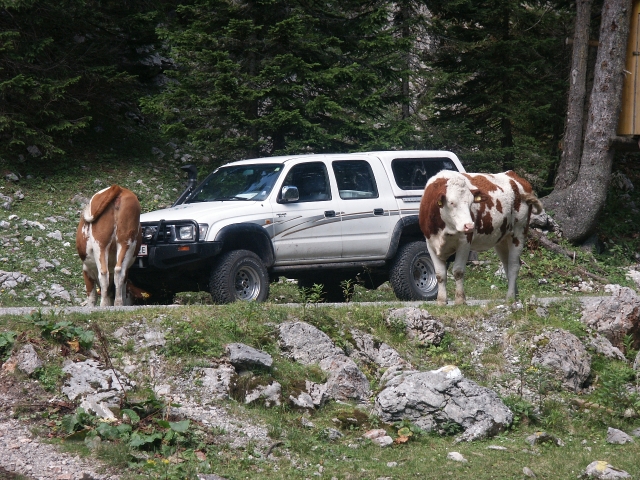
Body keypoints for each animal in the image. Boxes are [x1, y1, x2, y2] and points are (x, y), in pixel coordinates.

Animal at [422, 171, 544, 306]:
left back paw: (510, 298)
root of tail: (513, 175)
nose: (469, 225)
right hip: (502, 240)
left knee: (513, 266)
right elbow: (440, 275)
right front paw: (441, 301)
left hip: (519, 233)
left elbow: (458, 271)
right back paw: (515, 296)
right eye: (452, 203)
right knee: (507, 265)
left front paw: (460, 300)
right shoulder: (430, 243)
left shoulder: (464, 242)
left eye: (471, 203)